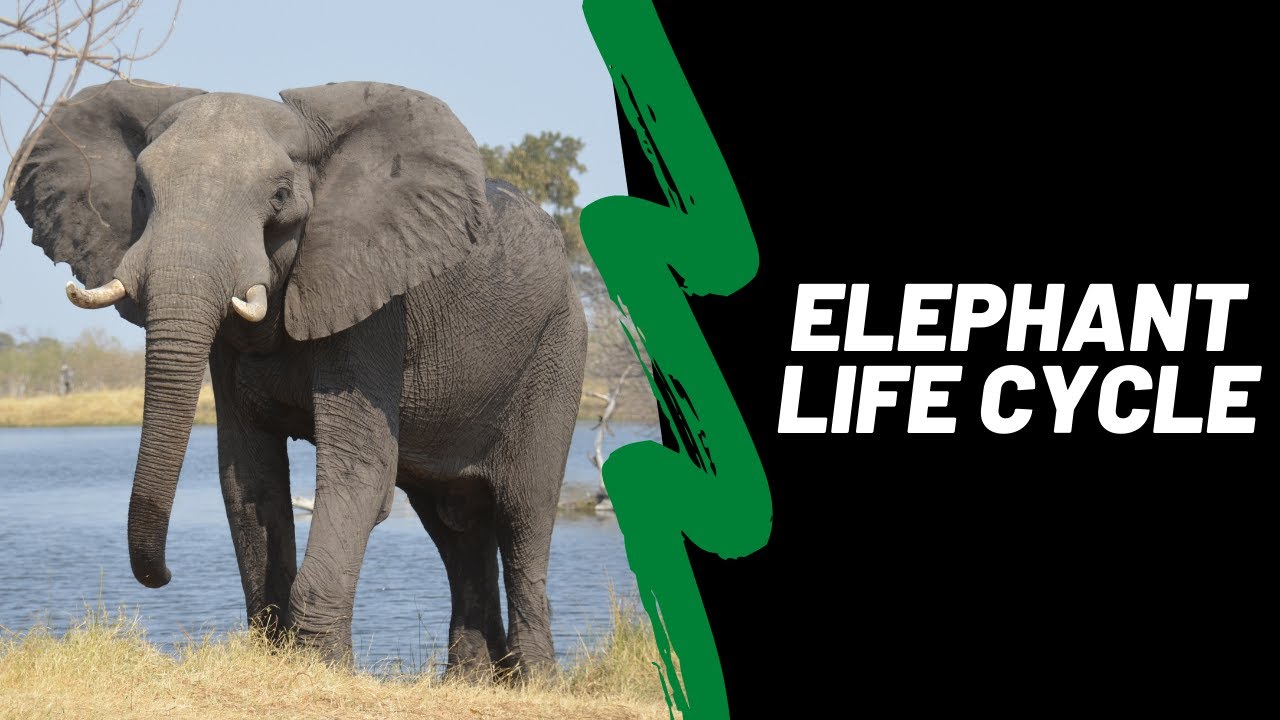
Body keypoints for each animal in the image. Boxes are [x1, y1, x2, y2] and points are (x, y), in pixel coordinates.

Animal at [9, 80, 588, 677]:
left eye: (281, 196)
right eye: (142, 192)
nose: (165, 576)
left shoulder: (373, 303)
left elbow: (360, 470)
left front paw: (324, 666)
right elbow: (248, 475)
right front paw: (277, 654)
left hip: (559, 350)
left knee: (524, 511)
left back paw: (534, 681)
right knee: (455, 524)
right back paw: (472, 680)